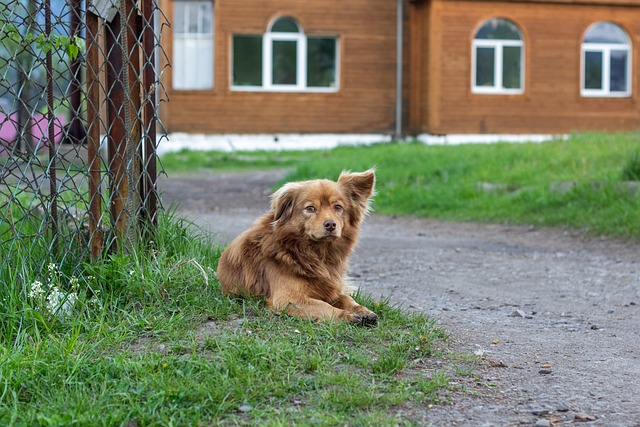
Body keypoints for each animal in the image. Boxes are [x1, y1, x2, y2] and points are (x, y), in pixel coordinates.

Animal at [219, 170, 380, 324]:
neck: (316, 254)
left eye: (338, 207)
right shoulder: (287, 299)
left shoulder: (330, 289)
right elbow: (323, 306)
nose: (330, 224)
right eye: (310, 208)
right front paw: (346, 316)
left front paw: (363, 311)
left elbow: (347, 299)